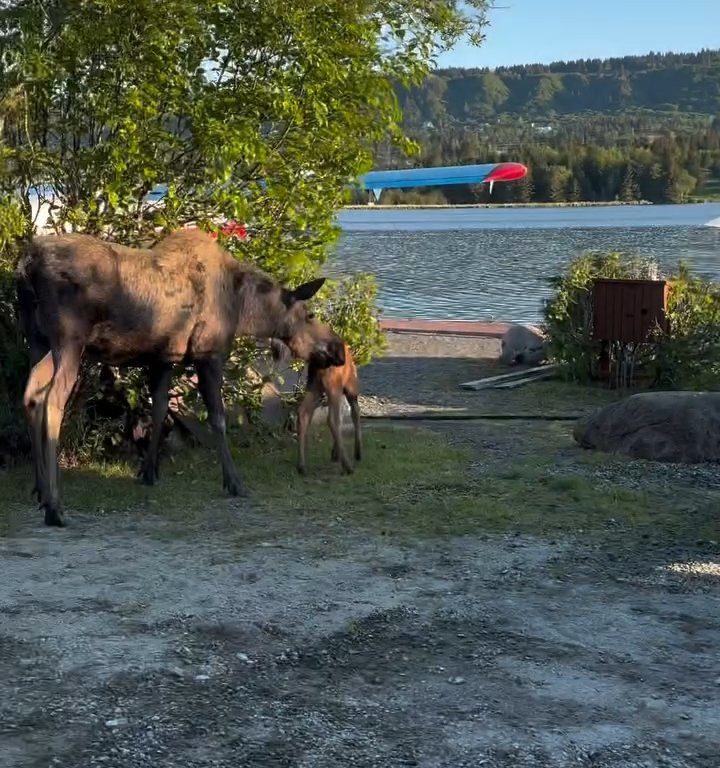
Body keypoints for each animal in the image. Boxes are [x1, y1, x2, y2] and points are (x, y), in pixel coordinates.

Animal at [16, 228, 344, 528]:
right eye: (310, 315)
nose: (337, 349)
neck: (243, 310)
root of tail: (27, 265)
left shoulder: (164, 359)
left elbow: (159, 408)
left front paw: (149, 472)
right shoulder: (209, 353)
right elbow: (218, 419)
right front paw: (234, 482)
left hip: (38, 340)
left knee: (31, 396)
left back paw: (40, 490)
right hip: (68, 341)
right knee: (51, 401)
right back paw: (55, 506)